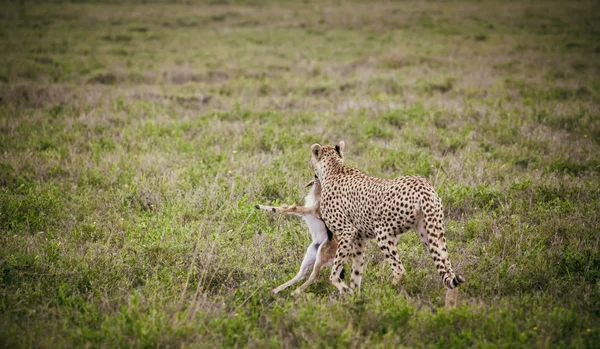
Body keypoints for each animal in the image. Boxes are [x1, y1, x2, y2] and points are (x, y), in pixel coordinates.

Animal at [310, 140, 464, 292]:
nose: (310, 166)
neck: (334, 168)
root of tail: (422, 186)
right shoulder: (360, 238)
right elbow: (357, 270)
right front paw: (354, 293)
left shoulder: (347, 231)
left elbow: (335, 272)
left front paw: (345, 289)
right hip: (431, 232)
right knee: (448, 268)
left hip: (382, 232)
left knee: (400, 270)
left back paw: (386, 290)